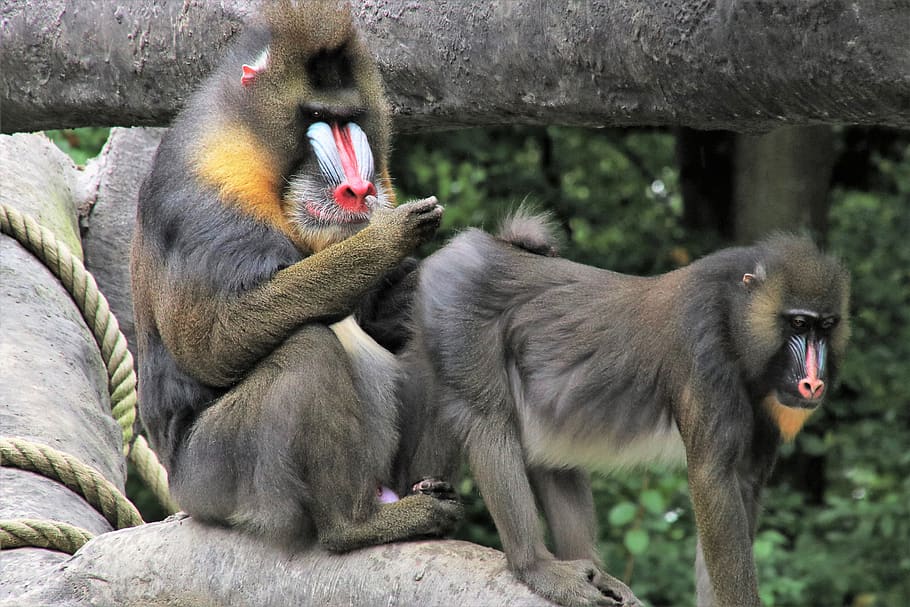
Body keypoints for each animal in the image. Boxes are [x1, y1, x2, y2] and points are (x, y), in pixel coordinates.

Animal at [129, 0, 461, 551]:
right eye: (318, 118)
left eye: (350, 120)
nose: (357, 189)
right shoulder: (205, 193)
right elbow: (216, 339)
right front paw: (388, 235)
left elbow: (382, 321)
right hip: (218, 474)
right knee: (306, 348)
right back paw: (359, 525)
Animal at [395, 211, 850, 607]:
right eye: (797, 324)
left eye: (825, 326)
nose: (813, 382)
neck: (735, 318)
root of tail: (481, 243)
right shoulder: (704, 354)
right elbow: (713, 483)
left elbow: (739, 494)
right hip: (459, 319)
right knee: (488, 421)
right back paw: (536, 565)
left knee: (550, 456)